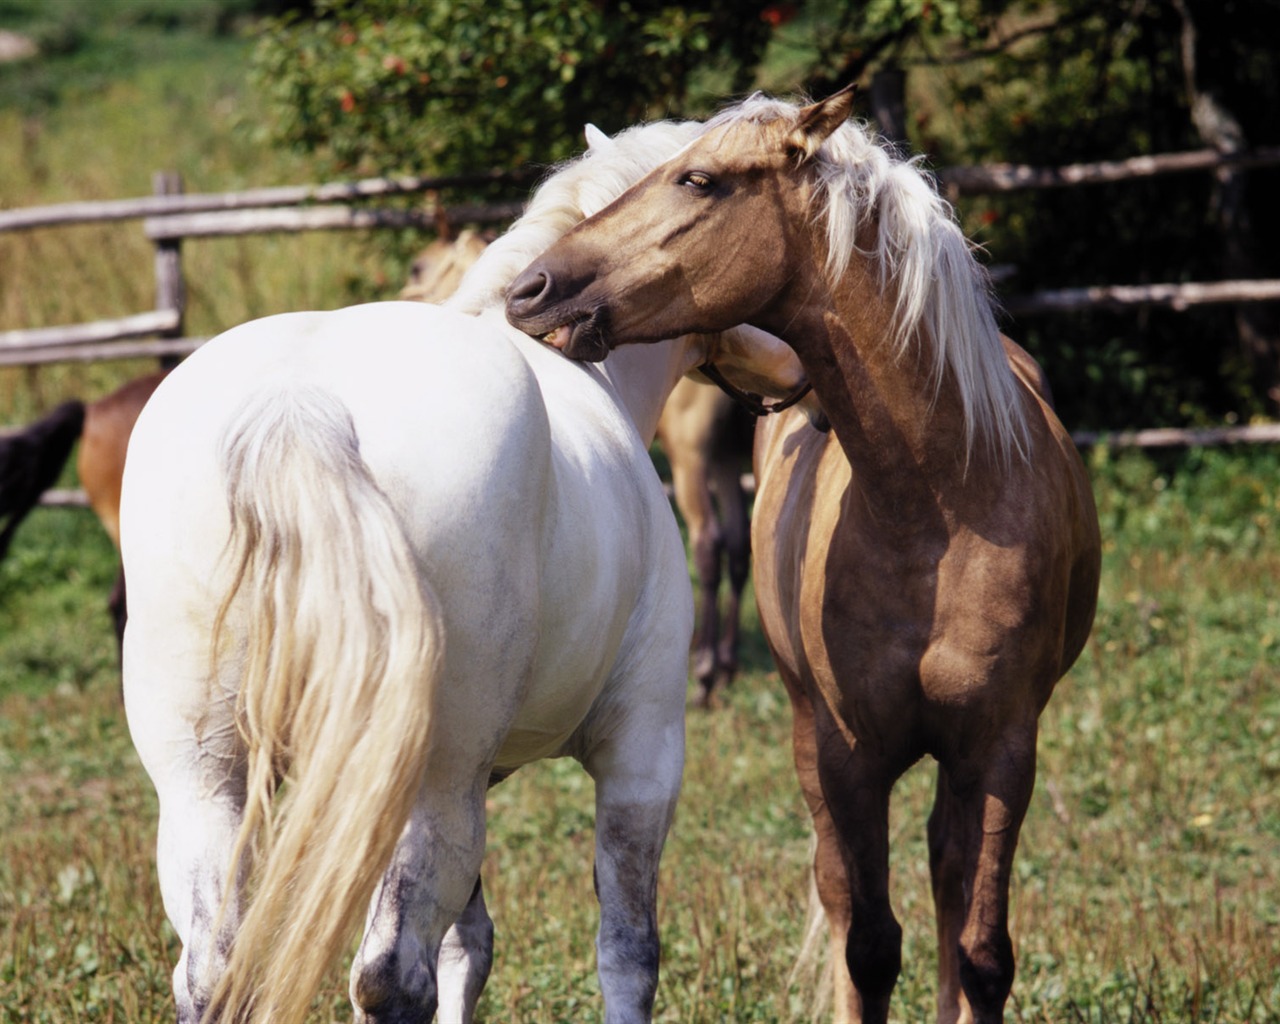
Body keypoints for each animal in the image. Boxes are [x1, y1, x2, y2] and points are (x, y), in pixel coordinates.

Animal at [115, 115, 803, 1018]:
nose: (791, 366)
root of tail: (298, 403)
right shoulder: (641, 755)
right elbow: (627, 952)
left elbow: (467, 947)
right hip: (434, 779)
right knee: (386, 975)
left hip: (206, 781)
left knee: (213, 972)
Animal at [504, 90, 1105, 1024]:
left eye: (699, 179)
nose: (530, 289)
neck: (938, 507)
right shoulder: (845, 755)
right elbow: (868, 946)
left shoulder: (1004, 748)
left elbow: (982, 952)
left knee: (945, 875)